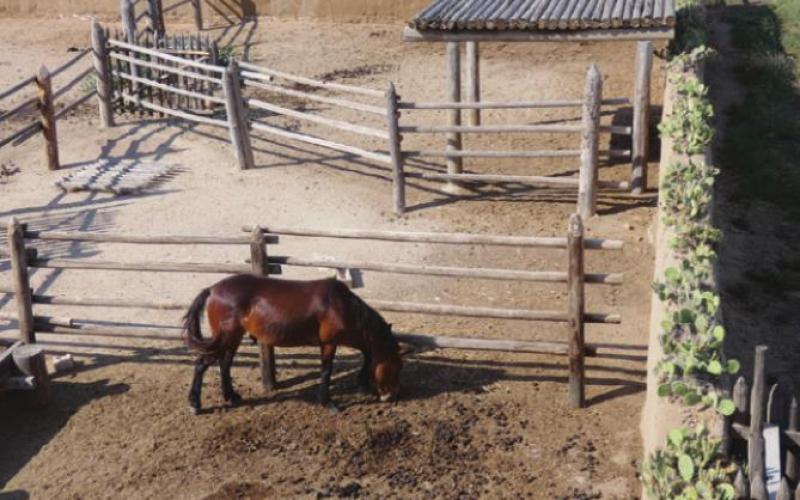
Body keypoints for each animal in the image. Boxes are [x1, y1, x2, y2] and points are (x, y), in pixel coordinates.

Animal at [182, 273, 404, 414]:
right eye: (397, 367)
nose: (392, 397)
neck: (340, 305)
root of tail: (212, 290)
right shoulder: (330, 343)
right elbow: (326, 371)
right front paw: (328, 403)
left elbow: (367, 353)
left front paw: (363, 383)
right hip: (226, 337)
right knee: (202, 364)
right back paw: (195, 404)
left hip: (234, 337)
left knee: (225, 364)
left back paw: (231, 396)